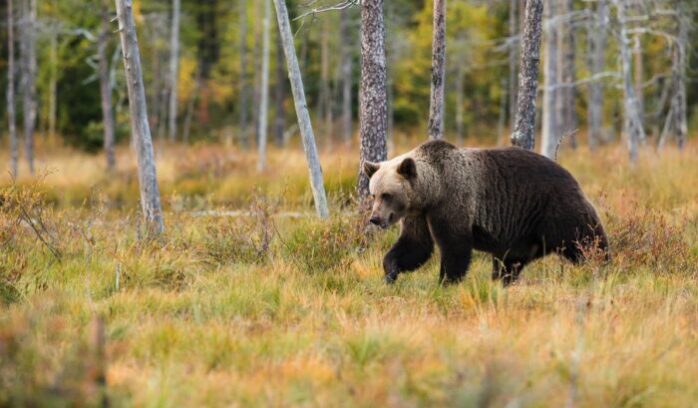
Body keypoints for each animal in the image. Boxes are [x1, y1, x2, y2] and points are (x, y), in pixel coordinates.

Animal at [363, 140, 609, 286]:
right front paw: (390, 272)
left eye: (387, 194)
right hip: (521, 232)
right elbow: (415, 245)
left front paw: (446, 282)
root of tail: (571, 176)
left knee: (585, 239)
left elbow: (455, 246)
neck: (432, 191)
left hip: (555, 208)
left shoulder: (454, 201)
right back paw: (501, 282)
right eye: (373, 194)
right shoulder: (419, 215)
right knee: (509, 262)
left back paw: (601, 266)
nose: (375, 218)